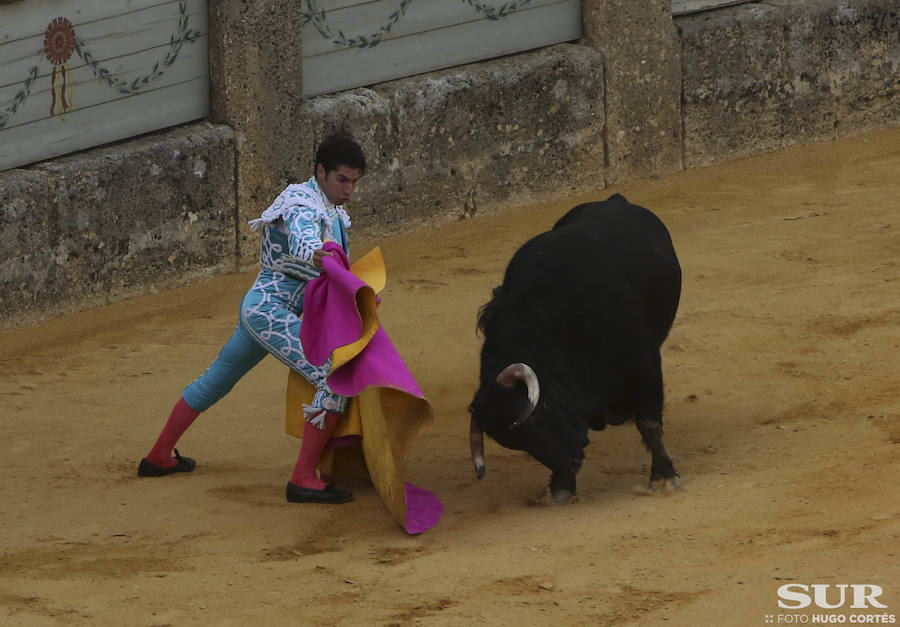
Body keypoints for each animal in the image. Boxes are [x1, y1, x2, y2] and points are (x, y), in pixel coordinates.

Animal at [472, 194, 684, 502]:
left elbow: (650, 425)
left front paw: (664, 477)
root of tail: (614, 198)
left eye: (533, 421)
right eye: (516, 444)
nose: (570, 463)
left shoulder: (645, 365)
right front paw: (561, 487)